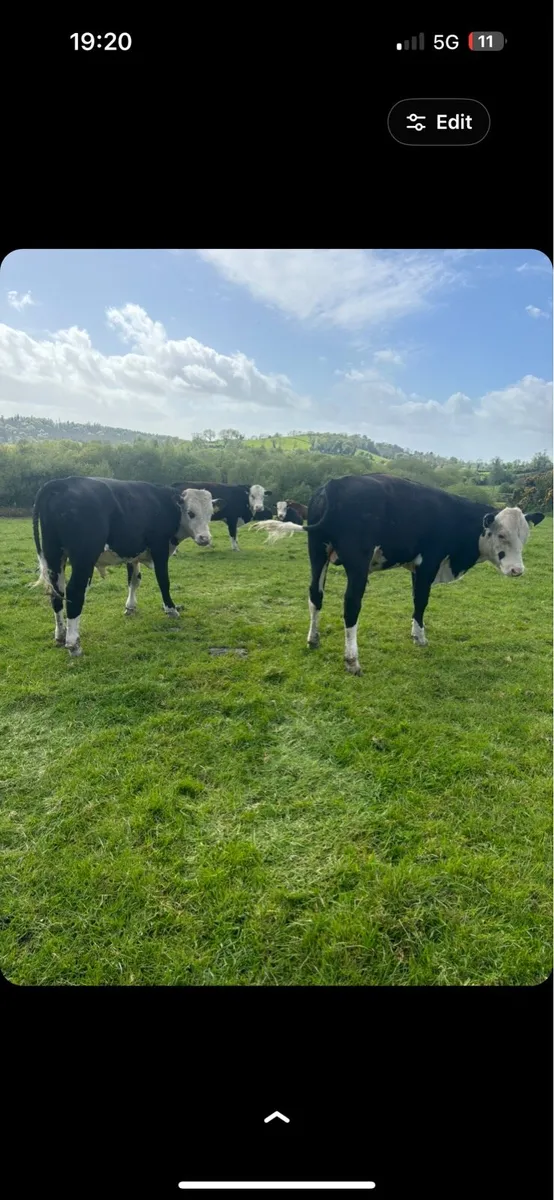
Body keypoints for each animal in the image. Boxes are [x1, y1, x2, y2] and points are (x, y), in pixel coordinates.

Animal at [32, 477, 216, 657]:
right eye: (190, 513)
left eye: (210, 514)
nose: (205, 538)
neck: (166, 505)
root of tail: (62, 482)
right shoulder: (159, 548)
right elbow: (164, 581)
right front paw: (171, 610)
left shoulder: (132, 555)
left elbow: (134, 581)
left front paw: (130, 607)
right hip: (83, 558)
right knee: (74, 592)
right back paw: (73, 644)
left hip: (54, 556)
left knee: (57, 593)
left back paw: (60, 635)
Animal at [251, 473, 545, 675]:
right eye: (501, 535)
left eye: (524, 536)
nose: (517, 570)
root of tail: (335, 484)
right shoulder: (428, 565)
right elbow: (421, 601)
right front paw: (421, 638)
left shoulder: (416, 567)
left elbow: (416, 601)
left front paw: (415, 633)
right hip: (357, 564)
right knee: (351, 605)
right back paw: (352, 661)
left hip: (317, 553)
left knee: (315, 596)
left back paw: (313, 640)